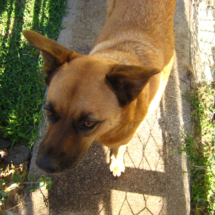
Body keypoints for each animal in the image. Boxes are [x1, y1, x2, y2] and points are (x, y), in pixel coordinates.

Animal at [22, 0, 176, 176]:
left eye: (88, 123)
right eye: (49, 112)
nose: (43, 165)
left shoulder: (125, 138)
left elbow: (120, 148)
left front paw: (116, 162)